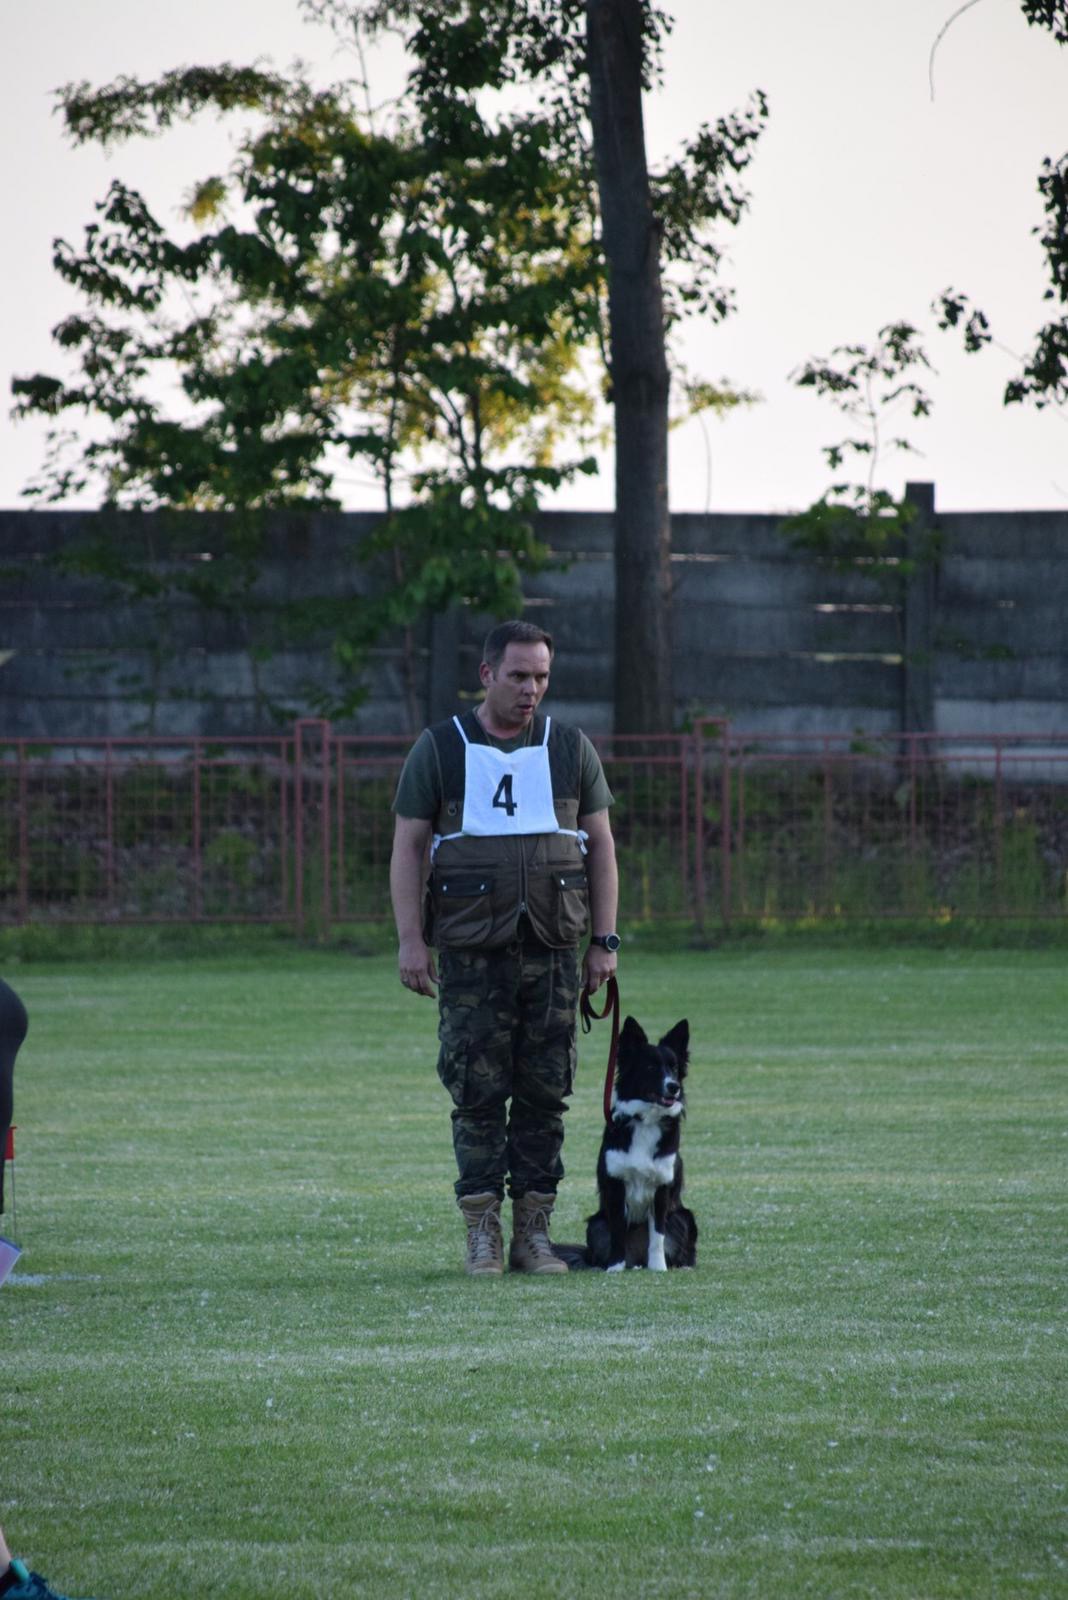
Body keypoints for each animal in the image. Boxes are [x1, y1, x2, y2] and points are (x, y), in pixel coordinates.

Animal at [584, 1016, 698, 1271]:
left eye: (674, 1068)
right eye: (650, 1067)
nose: (674, 1087)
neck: (645, 1119)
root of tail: (636, 1260)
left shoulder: (661, 1188)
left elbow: (657, 1236)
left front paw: (658, 1268)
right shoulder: (616, 1187)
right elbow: (618, 1232)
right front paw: (615, 1268)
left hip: (683, 1217)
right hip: (596, 1223)